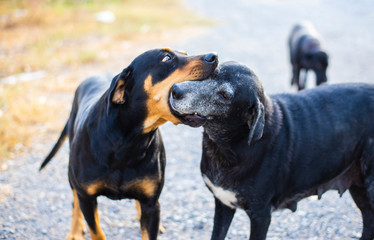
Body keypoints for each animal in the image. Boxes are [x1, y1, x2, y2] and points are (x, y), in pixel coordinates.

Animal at [39, 47, 218, 239]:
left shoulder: (151, 203)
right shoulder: (86, 197)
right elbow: (96, 230)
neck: (128, 142)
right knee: (74, 202)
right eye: (166, 58)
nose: (214, 57)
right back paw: (74, 231)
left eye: (185, 53)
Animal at [169, 62, 374, 240]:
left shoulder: (261, 216)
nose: (175, 90)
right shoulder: (223, 205)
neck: (229, 145)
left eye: (225, 95)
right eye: (212, 72)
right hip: (359, 188)